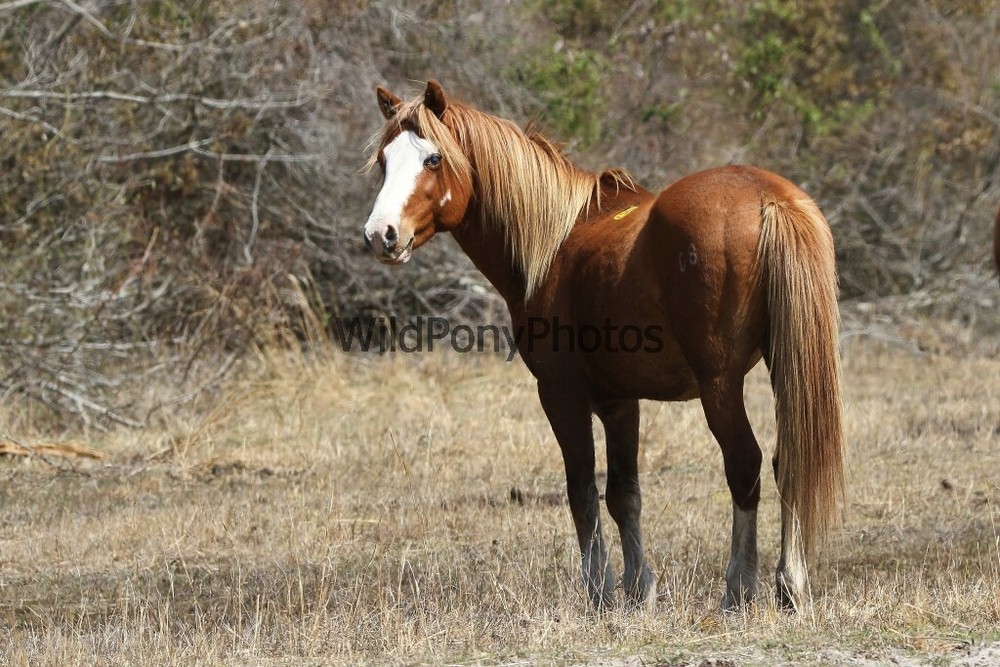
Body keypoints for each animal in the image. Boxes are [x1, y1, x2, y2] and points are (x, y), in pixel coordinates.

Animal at [362, 80, 844, 612]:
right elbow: (623, 494)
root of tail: (769, 199)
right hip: (786, 369)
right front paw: (638, 587)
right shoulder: (619, 401)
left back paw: (741, 587)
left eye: (432, 159)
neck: (553, 243)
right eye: (384, 161)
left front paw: (599, 590)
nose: (380, 235)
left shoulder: (560, 393)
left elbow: (582, 490)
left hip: (720, 384)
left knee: (745, 465)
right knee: (788, 462)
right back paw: (788, 584)